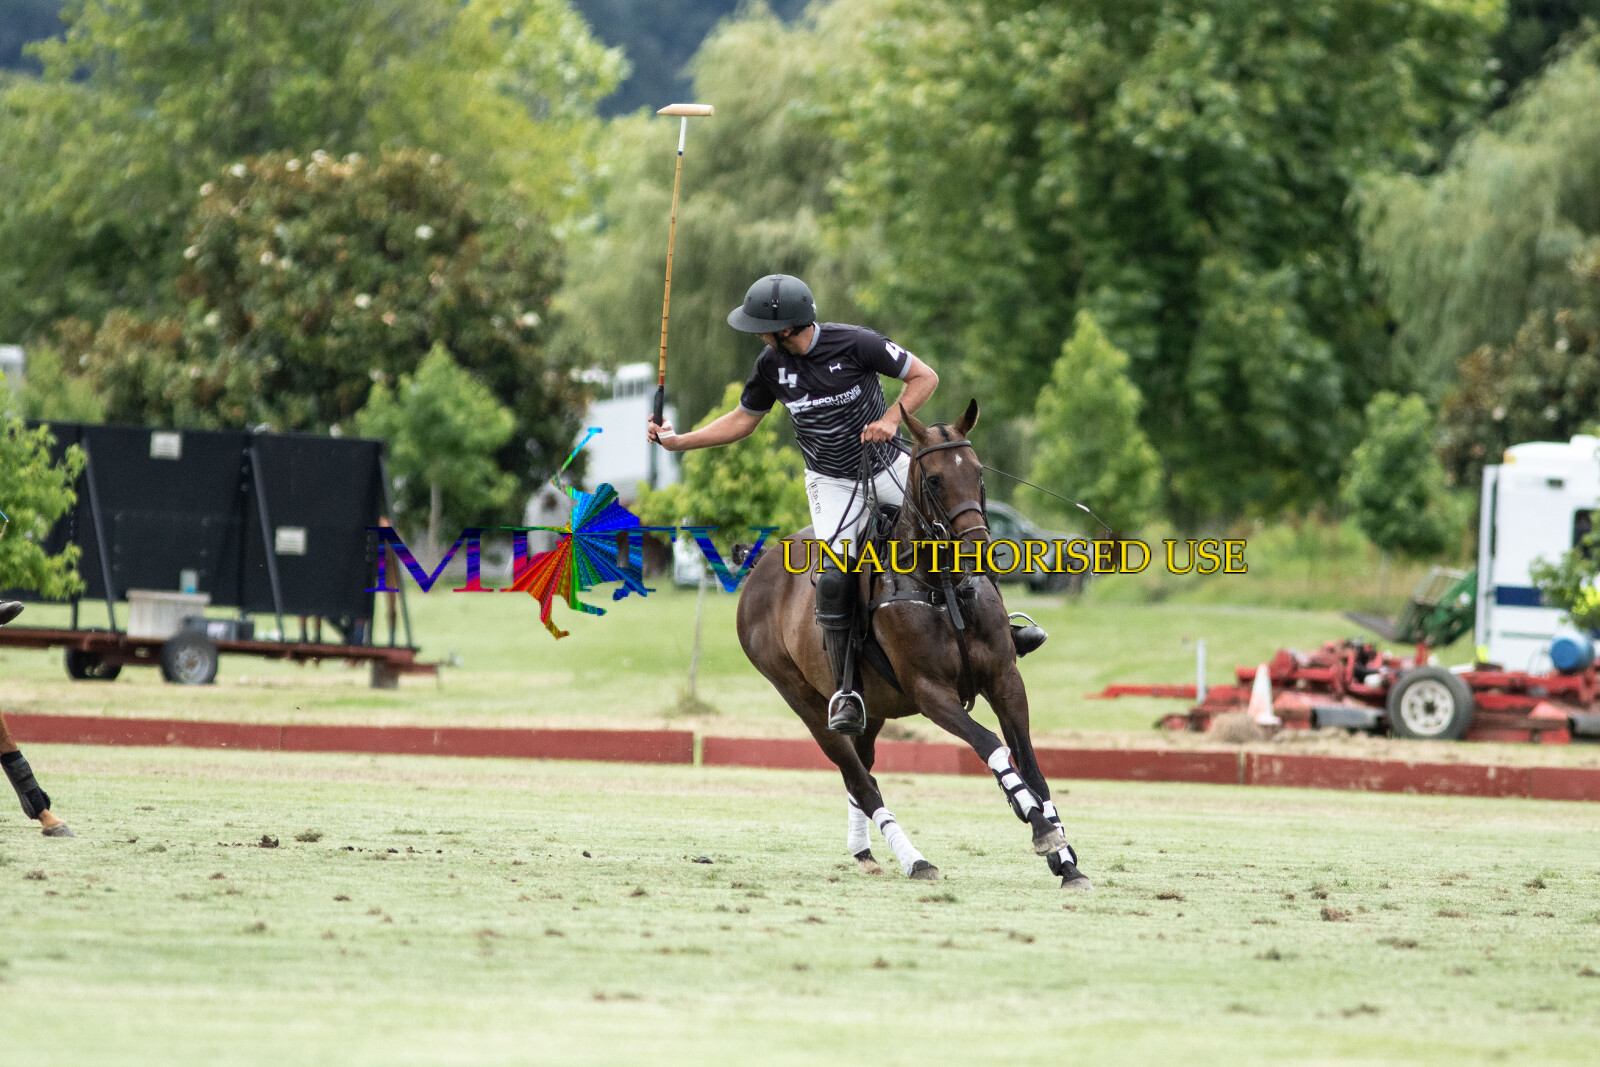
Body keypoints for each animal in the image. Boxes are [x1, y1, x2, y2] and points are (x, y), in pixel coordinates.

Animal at [735, 400, 1091, 889]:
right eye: (934, 479)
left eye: (979, 472)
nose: (979, 550)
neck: (944, 588)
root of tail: (759, 566)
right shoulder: (930, 692)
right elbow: (991, 745)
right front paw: (1040, 829)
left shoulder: (1006, 681)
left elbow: (1032, 766)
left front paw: (1067, 860)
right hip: (804, 700)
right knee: (860, 780)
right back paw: (915, 860)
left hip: (873, 708)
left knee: (863, 767)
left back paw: (865, 852)